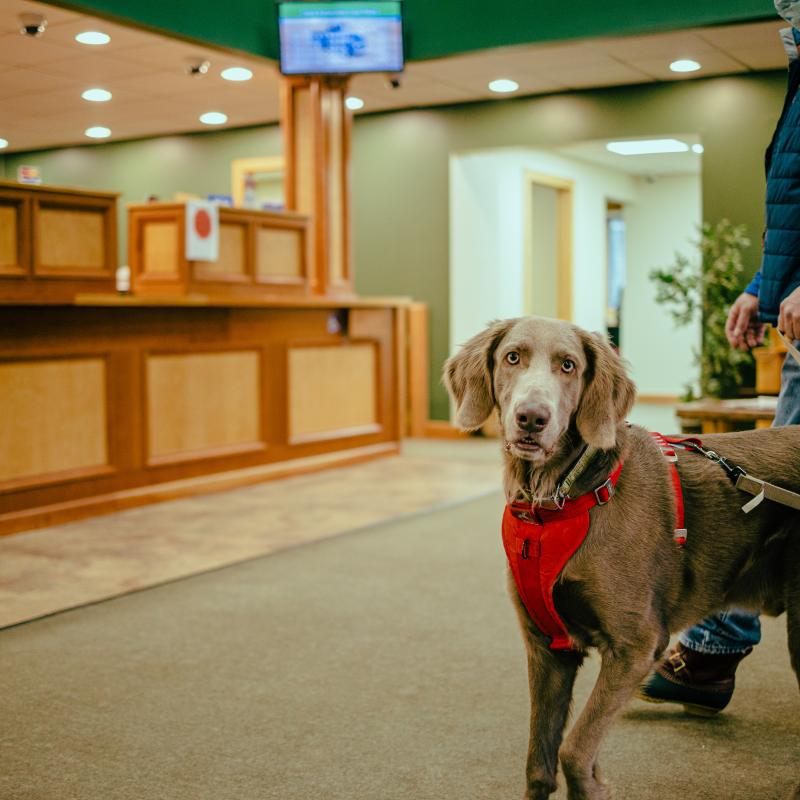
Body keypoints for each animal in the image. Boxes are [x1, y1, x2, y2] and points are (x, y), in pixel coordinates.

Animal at [444, 316, 800, 796]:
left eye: (568, 365)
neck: (554, 502)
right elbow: (539, 762)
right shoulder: (546, 648)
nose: (532, 418)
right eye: (512, 357)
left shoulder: (636, 646)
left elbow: (574, 749)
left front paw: (594, 786)